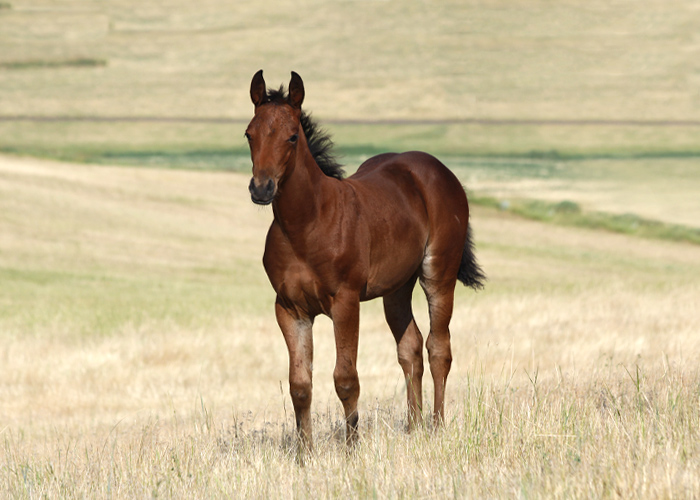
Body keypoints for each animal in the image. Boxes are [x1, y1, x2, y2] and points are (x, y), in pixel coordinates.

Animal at [245, 69, 482, 450]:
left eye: (292, 136)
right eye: (249, 134)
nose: (261, 189)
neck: (308, 223)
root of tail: (440, 171)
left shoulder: (345, 302)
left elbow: (345, 379)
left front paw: (352, 450)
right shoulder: (290, 309)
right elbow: (300, 385)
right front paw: (303, 454)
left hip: (438, 275)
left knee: (438, 348)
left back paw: (436, 427)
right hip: (396, 288)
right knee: (410, 348)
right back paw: (413, 428)